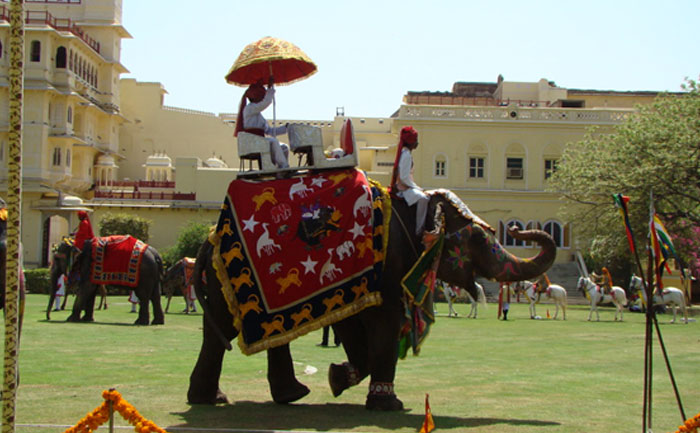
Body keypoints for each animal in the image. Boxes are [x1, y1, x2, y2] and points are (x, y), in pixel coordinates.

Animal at [187, 189, 556, 410]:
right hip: (226, 282)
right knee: (224, 331)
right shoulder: (386, 269)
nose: (517, 229)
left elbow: (355, 325)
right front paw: (388, 405)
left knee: (226, 333)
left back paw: (239, 397)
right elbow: (382, 325)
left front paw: (337, 378)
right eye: (479, 238)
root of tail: (208, 240)